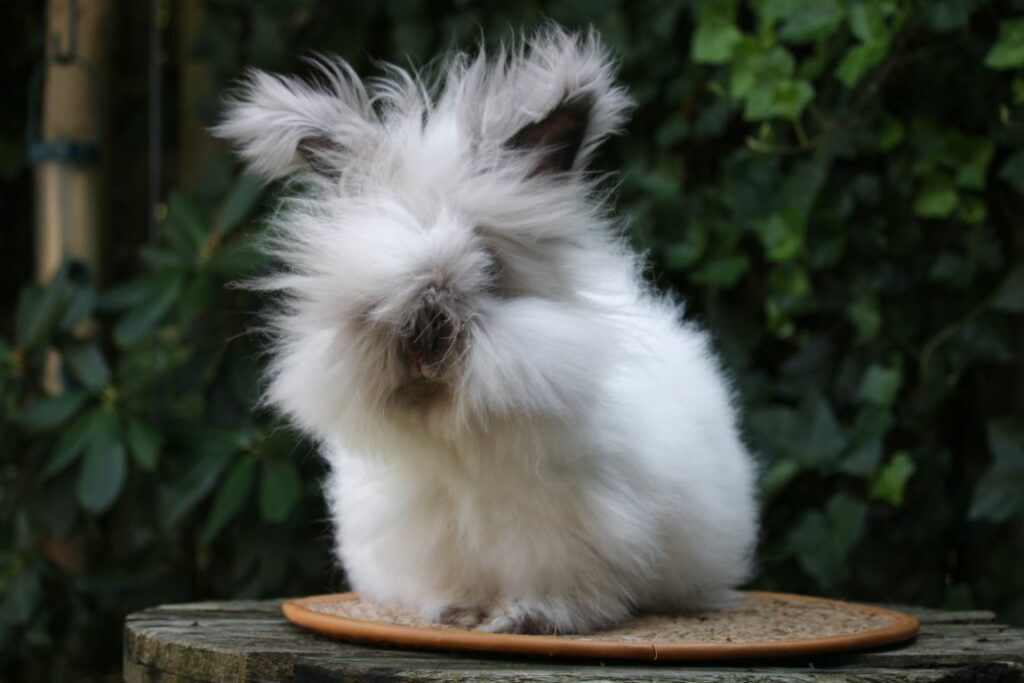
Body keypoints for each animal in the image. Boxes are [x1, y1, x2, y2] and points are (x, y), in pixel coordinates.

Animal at [215, 26, 759, 635]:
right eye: (366, 282)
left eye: (490, 267)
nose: (421, 343)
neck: (461, 442)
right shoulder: (432, 528)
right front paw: (457, 612)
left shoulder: (569, 525)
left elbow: (554, 577)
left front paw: (529, 617)